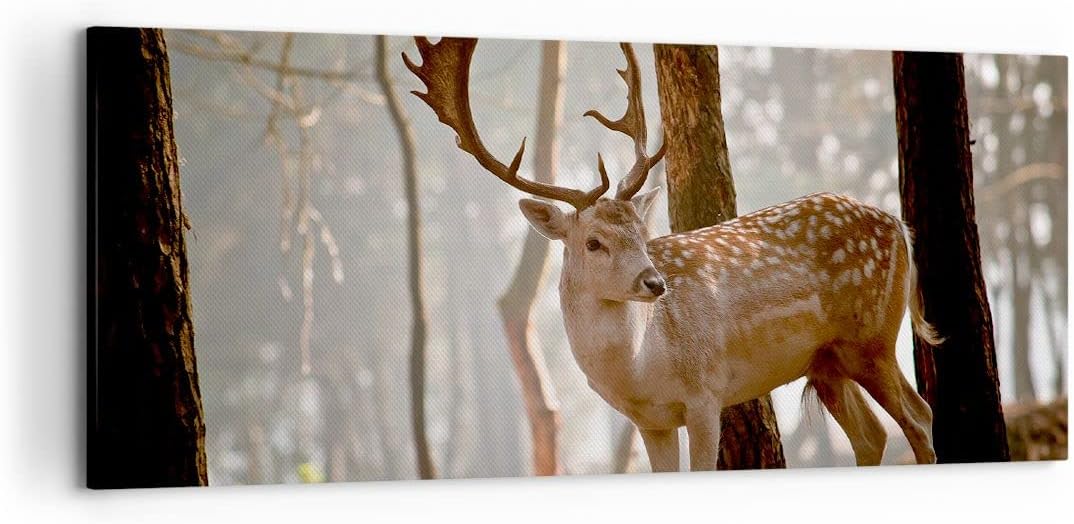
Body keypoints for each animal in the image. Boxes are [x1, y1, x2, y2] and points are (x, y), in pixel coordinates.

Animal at [404, 37, 941, 471]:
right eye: (593, 242)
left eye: (644, 233)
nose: (655, 283)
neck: (641, 371)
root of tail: (898, 224)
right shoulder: (651, 421)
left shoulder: (705, 393)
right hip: (826, 359)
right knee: (872, 435)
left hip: (869, 335)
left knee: (919, 415)